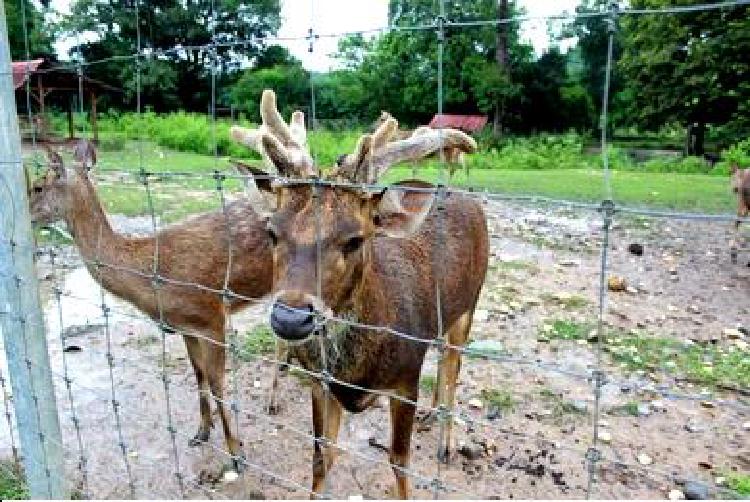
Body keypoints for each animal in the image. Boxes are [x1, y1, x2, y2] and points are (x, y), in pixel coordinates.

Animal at [29, 137, 288, 470]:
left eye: (37, 186)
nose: (24, 216)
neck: (151, 276)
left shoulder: (212, 316)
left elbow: (218, 383)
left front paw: (237, 454)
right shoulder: (187, 327)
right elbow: (199, 375)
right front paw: (201, 432)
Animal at [229, 91, 490, 498]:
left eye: (354, 239)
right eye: (272, 231)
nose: (290, 317)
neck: (354, 370)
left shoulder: (404, 380)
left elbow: (399, 462)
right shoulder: (320, 383)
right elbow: (321, 457)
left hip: (470, 304)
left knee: (453, 365)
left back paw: (446, 444)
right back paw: (431, 416)